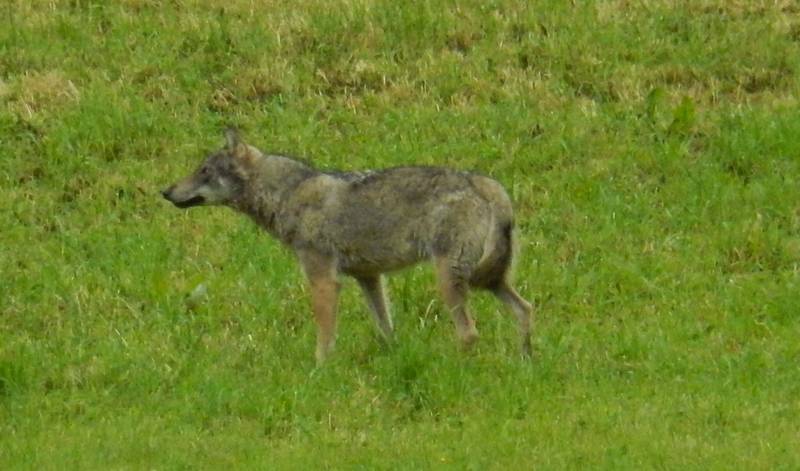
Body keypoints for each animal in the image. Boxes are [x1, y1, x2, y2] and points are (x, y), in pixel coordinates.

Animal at [162, 129, 533, 364]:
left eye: (204, 171)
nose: (166, 192)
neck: (288, 195)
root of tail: (486, 185)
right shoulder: (368, 277)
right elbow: (386, 329)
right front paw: (393, 360)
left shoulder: (324, 278)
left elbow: (325, 336)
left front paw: (319, 371)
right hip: (488, 281)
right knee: (525, 309)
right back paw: (526, 362)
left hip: (451, 280)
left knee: (469, 333)